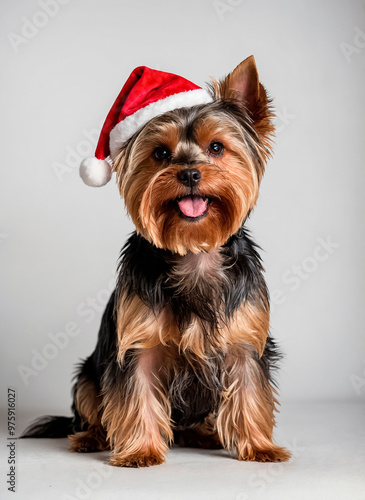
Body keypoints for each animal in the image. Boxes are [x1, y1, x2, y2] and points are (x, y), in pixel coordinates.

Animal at [22, 56, 290, 466]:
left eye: (216, 147)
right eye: (161, 153)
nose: (190, 173)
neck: (194, 253)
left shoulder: (246, 341)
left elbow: (250, 392)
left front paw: (259, 447)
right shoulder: (138, 345)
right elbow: (137, 396)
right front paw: (139, 451)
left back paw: (203, 433)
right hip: (88, 373)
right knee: (91, 407)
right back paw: (91, 437)